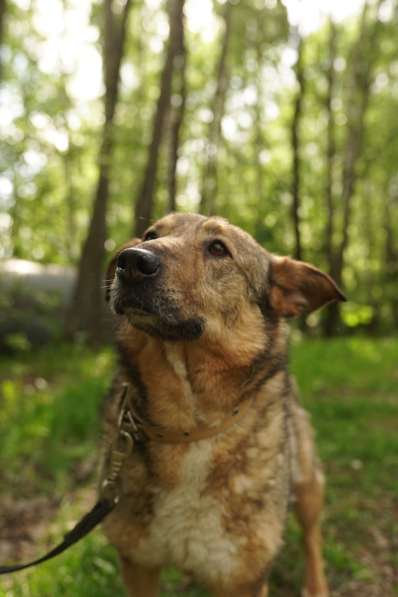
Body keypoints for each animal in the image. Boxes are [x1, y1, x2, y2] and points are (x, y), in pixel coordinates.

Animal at [100, 212, 346, 592]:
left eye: (218, 248)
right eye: (150, 235)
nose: (132, 261)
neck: (189, 428)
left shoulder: (243, 580)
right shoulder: (138, 564)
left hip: (307, 485)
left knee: (311, 537)